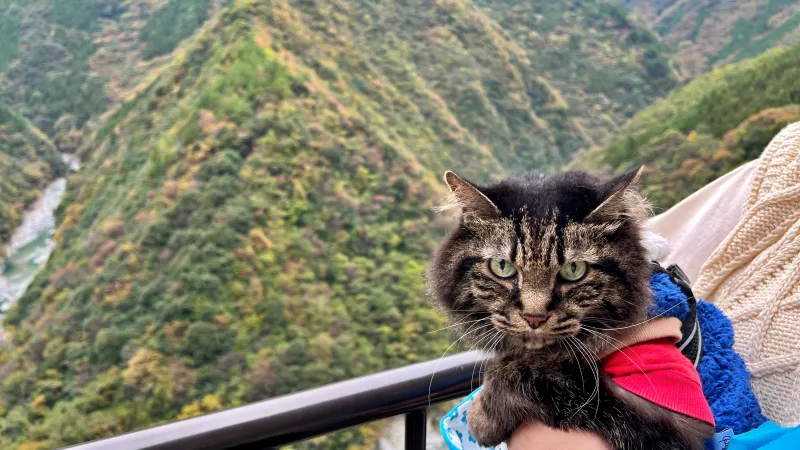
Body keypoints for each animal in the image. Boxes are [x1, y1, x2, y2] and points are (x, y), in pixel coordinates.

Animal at [426, 169, 714, 450]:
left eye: (574, 270)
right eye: (502, 267)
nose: (534, 317)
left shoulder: (673, 416)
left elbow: (537, 372)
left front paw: (480, 417)